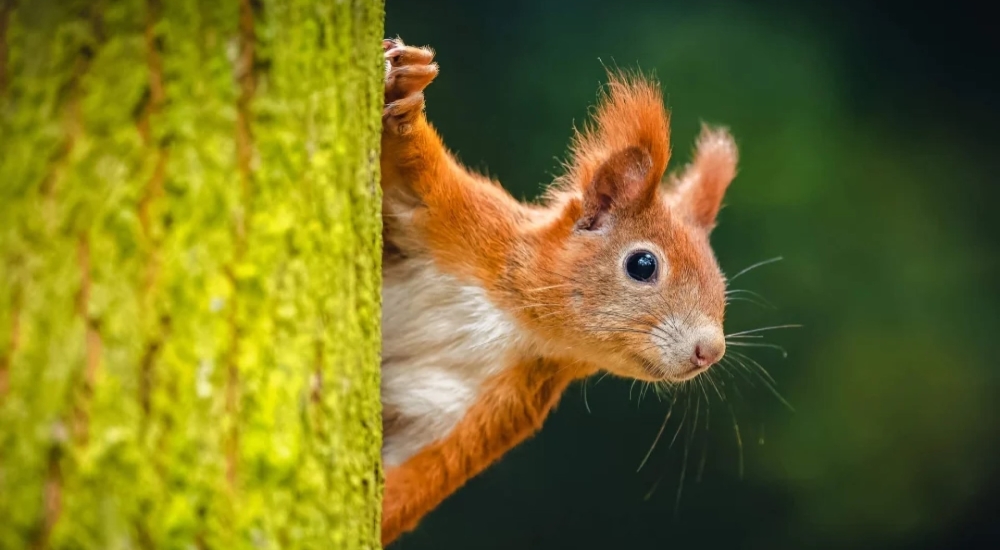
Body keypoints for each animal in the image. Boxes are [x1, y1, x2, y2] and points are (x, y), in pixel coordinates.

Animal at [378, 36, 740, 544]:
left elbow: (414, 475)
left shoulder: (489, 406)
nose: (711, 350)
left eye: (721, 284)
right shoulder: (461, 221)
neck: (513, 319)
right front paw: (407, 94)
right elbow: (414, 171)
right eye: (643, 265)